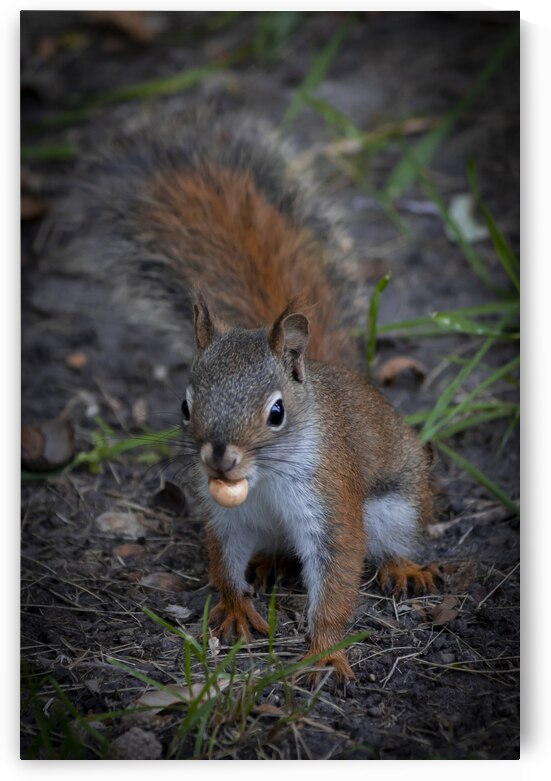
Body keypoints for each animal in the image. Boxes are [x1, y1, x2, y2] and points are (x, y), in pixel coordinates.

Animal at [51, 106, 439, 680]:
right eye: (184, 405)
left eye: (276, 412)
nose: (219, 458)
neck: (263, 480)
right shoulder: (226, 518)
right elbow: (223, 563)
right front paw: (235, 608)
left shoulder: (330, 500)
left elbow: (338, 575)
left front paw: (324, 650)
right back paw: (267, 564)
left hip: (401, 501)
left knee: (396, 539)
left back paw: (406, 567)